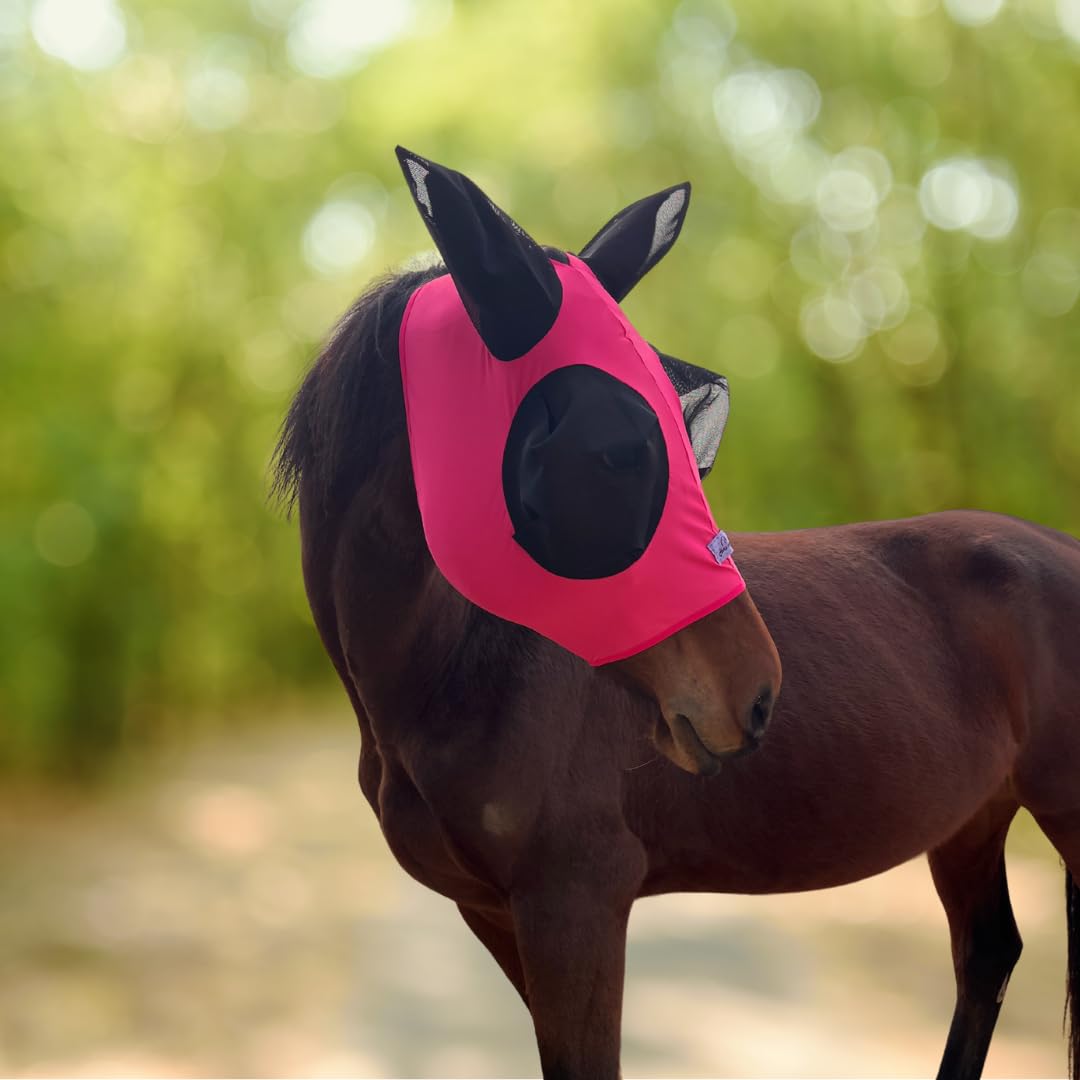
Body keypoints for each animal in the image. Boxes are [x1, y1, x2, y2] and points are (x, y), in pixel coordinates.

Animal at [274, 158, 1080, 1080]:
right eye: (618, 448)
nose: (757, 695)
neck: (456, 674)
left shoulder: (578, 902)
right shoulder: (497, 912)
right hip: (973, 817)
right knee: (986, 955)